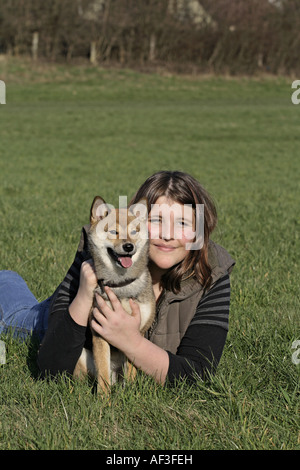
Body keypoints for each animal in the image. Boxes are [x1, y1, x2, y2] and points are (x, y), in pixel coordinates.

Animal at [74, 196, 156, 392]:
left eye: (134, 231)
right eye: (113, 231)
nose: (128, 246)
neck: (121, 284)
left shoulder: (137, 332)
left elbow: (132, 372)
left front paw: (132, 393)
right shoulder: (99, 332)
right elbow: (103, 374)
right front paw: (103, 399)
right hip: (82, 357)